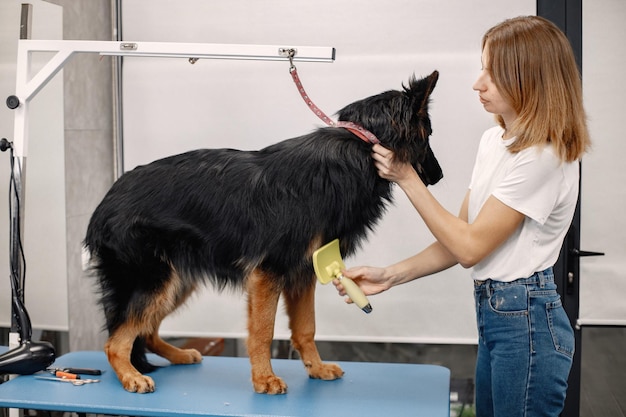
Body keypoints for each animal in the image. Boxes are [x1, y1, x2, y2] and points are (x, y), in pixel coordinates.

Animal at [85, 70, 442, 392]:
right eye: (427, 136)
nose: (439, 177)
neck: (359, 148)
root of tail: (105, 202)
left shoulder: (303, 272)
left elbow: (306, 328)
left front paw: (316, 368)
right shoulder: (269, 272)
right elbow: (263, 331)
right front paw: (264, 379)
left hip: (176, 282)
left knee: (145, 331)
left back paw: (179, 356)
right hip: (154, 282)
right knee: (116, 341)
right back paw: (131, 377)